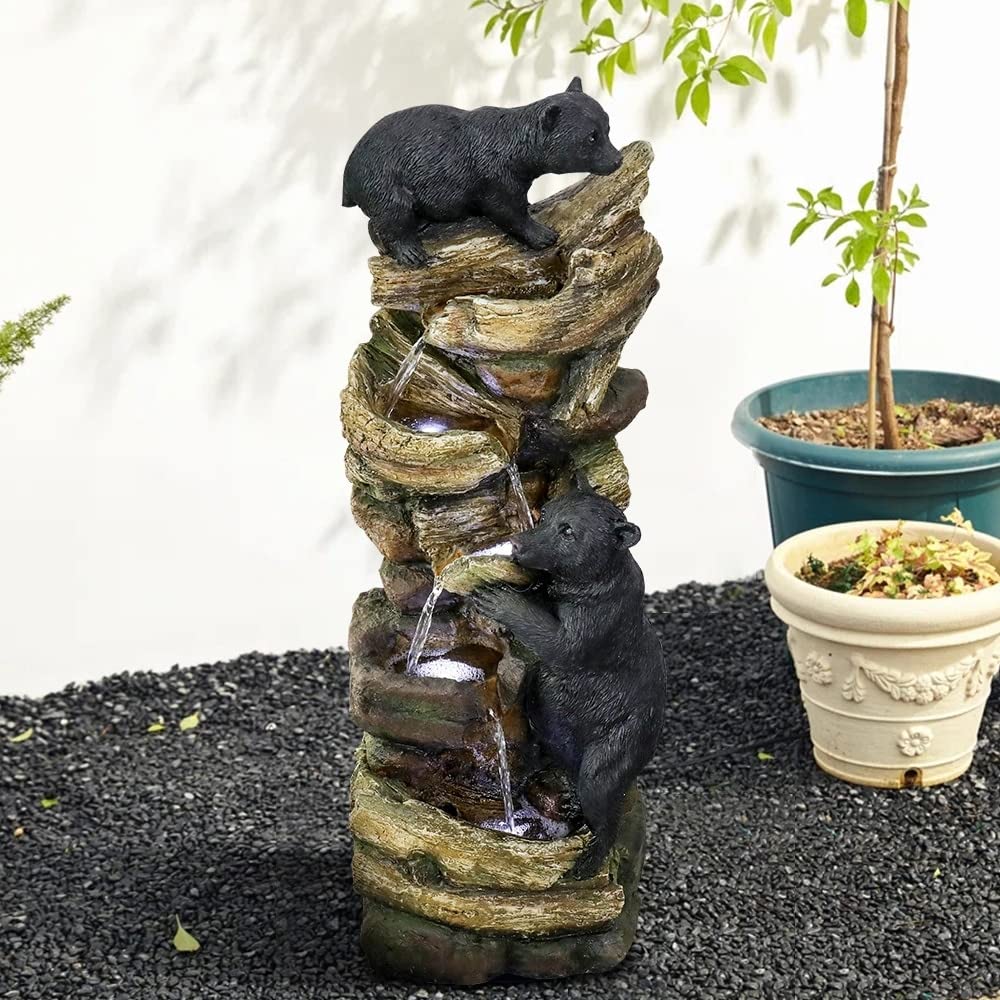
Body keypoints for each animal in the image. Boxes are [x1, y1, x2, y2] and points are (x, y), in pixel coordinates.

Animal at [341, 78, 622, 267]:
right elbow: (505, 209)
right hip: (383, 177)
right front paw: (543, 235)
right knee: (393, 211)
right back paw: (409, 252)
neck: (516, 150)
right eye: (591, 137)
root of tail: (348, 172)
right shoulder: (493, 176)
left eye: (608, 127)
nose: (617, 159)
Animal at [474, 480, 666, 879]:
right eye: (546, 514)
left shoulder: (600, 616)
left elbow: (561, 644)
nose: (518, 545)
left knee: (601, 785)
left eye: (569, 532)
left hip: (622, 734)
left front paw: (497, 598)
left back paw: (586, 860)